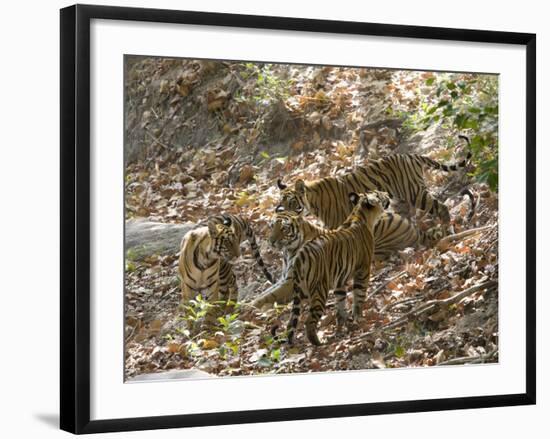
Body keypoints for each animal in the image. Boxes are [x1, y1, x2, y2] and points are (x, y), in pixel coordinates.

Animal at [274, 191, 390, 346]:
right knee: (309, 321)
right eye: (379, 194)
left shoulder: (340, 280)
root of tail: (300, 256)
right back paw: (318, 342)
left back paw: (291, 342)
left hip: (300, 291)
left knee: (291, 322)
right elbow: (359, 296)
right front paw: (359, 318)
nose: (387, 193)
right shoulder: (363, 270)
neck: (360, 214)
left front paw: (344, 324)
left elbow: (341, 303)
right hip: (319, 290)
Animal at [278, 135, 472, 230]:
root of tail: (411, 155)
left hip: (415, 192)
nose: (282, 213)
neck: (312, 203)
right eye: (281, 203)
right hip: (401, 199)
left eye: (292, 203)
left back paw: (447, 227)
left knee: (442, 207)